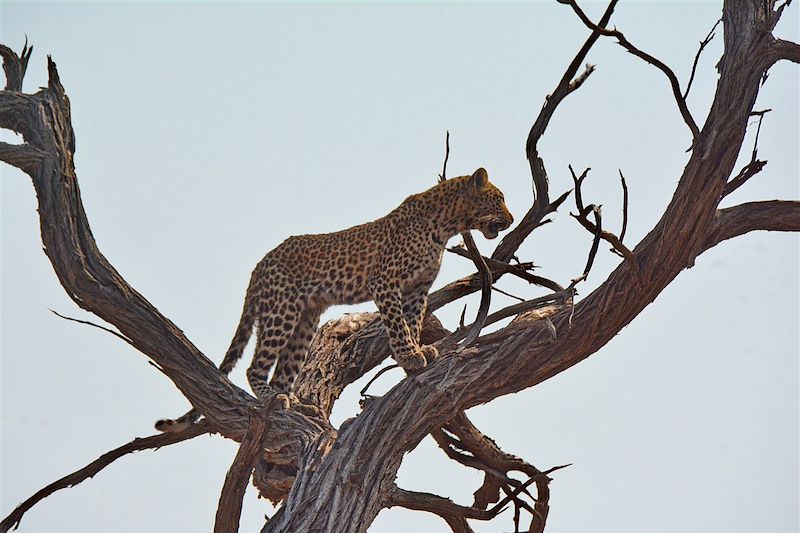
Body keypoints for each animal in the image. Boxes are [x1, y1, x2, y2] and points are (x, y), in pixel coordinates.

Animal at [156, 168, 512, 430]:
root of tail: (260, 265)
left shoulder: (416, 289)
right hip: (281, 311)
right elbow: (397, 325)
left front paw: (416, 353)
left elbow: (411, 323)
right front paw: (409, 356)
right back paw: (272, 398)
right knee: (256, 366)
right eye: (498, 199)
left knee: (283, 370)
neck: (446, 224)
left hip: (305, 319)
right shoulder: (386, 283)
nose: (509, 220)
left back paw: (298, 406)